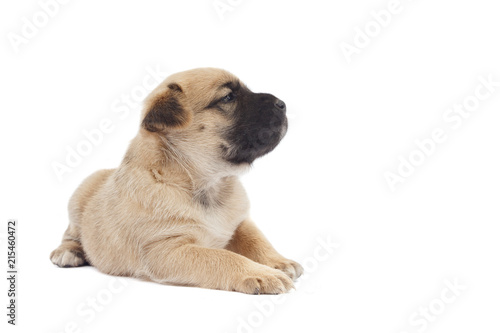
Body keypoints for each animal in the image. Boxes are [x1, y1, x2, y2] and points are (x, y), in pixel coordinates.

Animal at [50, 67, 302, 294]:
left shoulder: (241, 221)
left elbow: (257, 240)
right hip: (78, 197)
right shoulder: (166, 250)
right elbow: (221, 256)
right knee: (71, 233)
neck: (207, 186)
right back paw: (68, 252)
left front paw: (278, 261)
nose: (282, 104)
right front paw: (260, 273)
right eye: (228, 97)